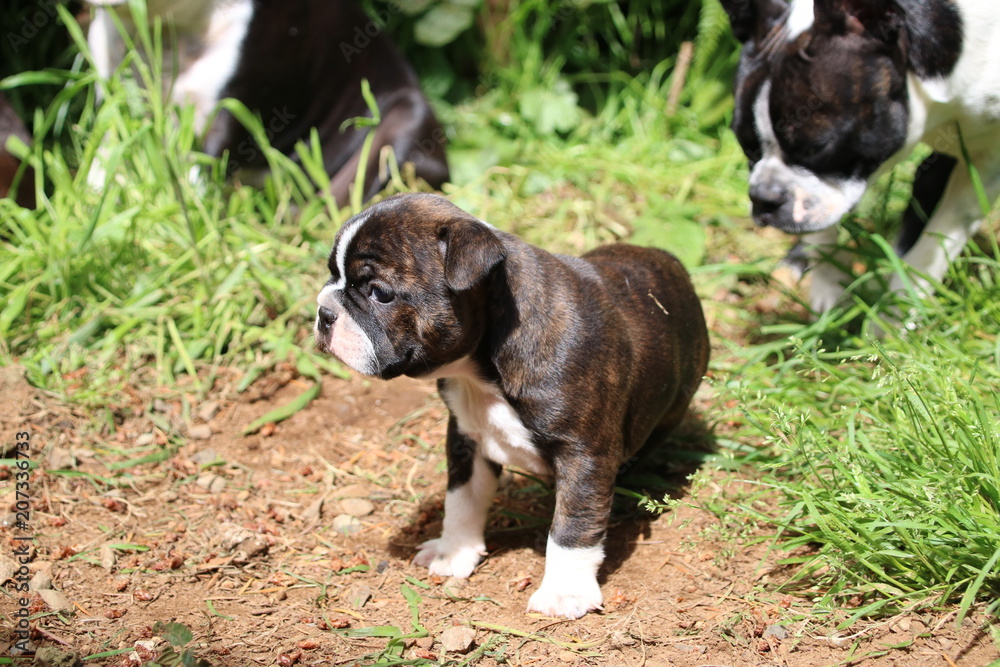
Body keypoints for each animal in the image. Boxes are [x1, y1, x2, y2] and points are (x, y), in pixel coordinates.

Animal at [312, 194, 712, 620]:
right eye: (331, 276)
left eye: (380, 292)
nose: (324, 313)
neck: (480, 371)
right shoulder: (466, 438)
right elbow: (461, 500)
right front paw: (453, 551)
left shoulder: (585, 455)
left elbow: (573, 525)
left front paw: (564, 591)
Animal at [724, 0, 1000, 314]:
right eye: (747, 148)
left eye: (817, 148)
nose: (763, 197)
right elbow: (824, 225)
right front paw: (829, 286)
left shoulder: (985, 164)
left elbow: (935, 243)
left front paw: (896, 312)